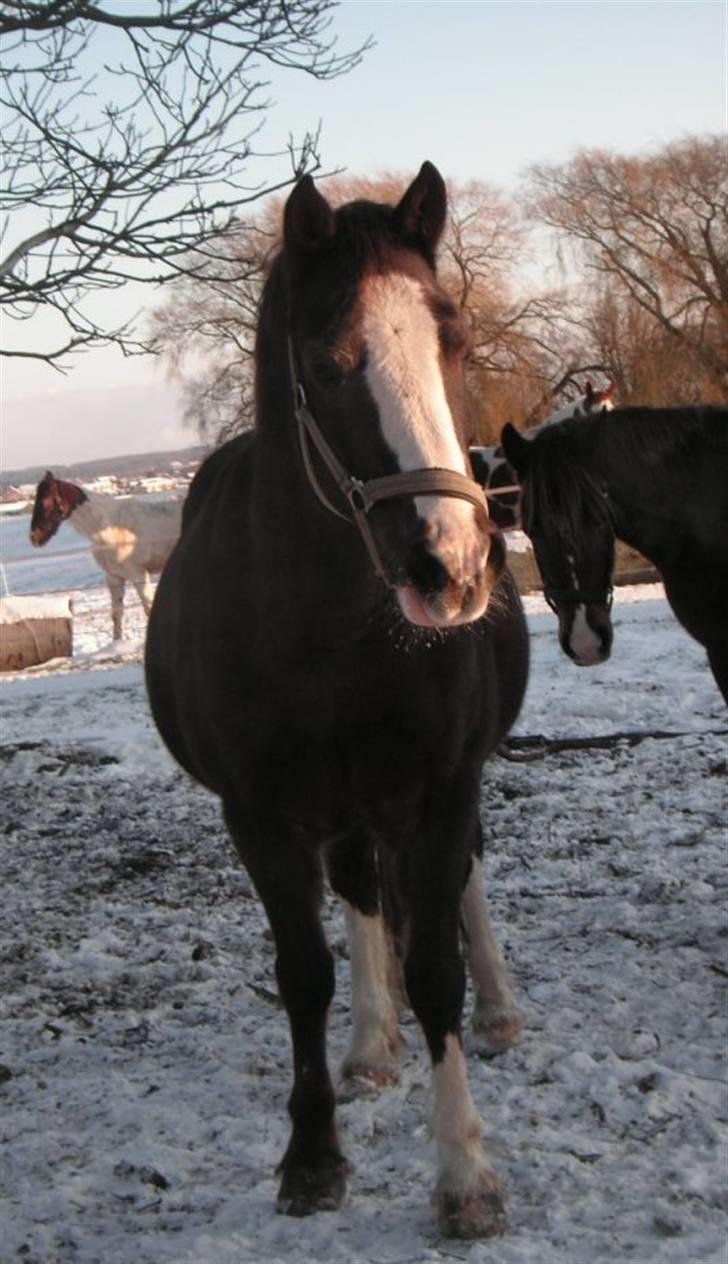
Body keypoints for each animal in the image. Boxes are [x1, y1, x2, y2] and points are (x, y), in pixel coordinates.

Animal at [30, 470, 180, 637]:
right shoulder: (114, 577)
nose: (34, 537)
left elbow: (148, 608)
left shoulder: (138, 574)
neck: (109, 528)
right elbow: (117, 614)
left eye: (45, 501)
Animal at [145, 163, 528, 1238]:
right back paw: (369, 1046)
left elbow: (435, 963)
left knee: (461, 887)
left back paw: (497, 1008)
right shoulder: (258, 816)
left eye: (454, 339)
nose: (450, 566)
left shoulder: (442, 790)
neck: (325, 626)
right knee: (358, 894)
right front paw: (312, 1154)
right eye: (327, 359)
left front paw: (464, 1173)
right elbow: (305, 973)